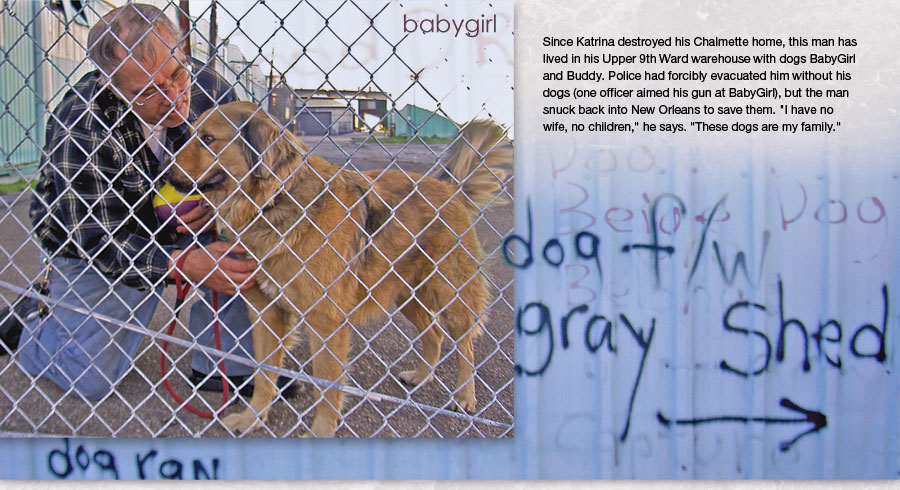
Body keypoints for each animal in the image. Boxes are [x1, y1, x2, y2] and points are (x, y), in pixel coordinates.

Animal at [166, 100, 510, 436]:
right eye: (190, 134)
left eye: (208, 139)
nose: (163, 174)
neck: (274, 201)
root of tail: (449, 187)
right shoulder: (266, 313)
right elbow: (264, 373)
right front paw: (253, 418)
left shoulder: (326, 321)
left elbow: (326, 385)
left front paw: (321, 431)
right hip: (405, 293)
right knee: (434, 334)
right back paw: (422, 376)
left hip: (451, 294)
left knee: (465, 344)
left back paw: (465, 396)